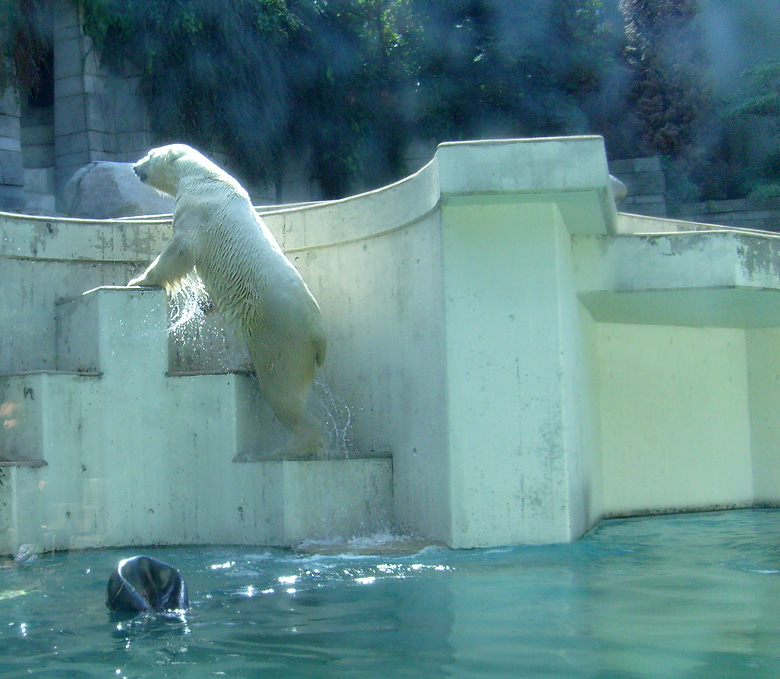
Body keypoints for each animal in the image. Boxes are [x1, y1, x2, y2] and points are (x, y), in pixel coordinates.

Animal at [128, 145, 326, 460]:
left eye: (149, 154)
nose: (135, 167)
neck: (204, 178)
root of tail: (319, 338)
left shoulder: (199, 211)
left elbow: (181, 248)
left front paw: (139, 279)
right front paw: (206, 303)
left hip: (284, 336)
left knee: (283, 391)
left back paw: (288, 448)